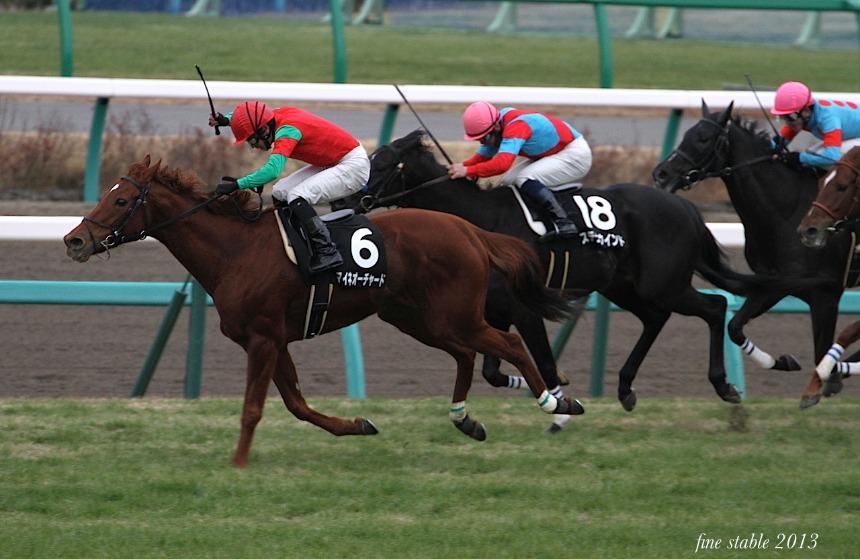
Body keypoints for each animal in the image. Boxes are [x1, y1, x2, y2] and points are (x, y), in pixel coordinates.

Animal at [63, 156, 580, 468]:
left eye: (122, 199)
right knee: (466, 355)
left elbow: (254, 407)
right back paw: (466, 420)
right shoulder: (273, 339)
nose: (74, 240)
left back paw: (556, 402)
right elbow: (296, 403)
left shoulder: (264, 338)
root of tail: (470, 231)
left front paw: (238, 463)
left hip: (454, 315)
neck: (236, 251)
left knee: (507, 342)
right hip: (417, 318)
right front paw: (356, 425)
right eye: (106, 193)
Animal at [656, 100, 848, 398]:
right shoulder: (774, 282)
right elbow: (735, 327)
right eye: (686, 134)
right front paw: (782, 361)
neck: (790, 212)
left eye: (703, 138)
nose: (661, 173)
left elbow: (822, 353)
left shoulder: (824, 293)